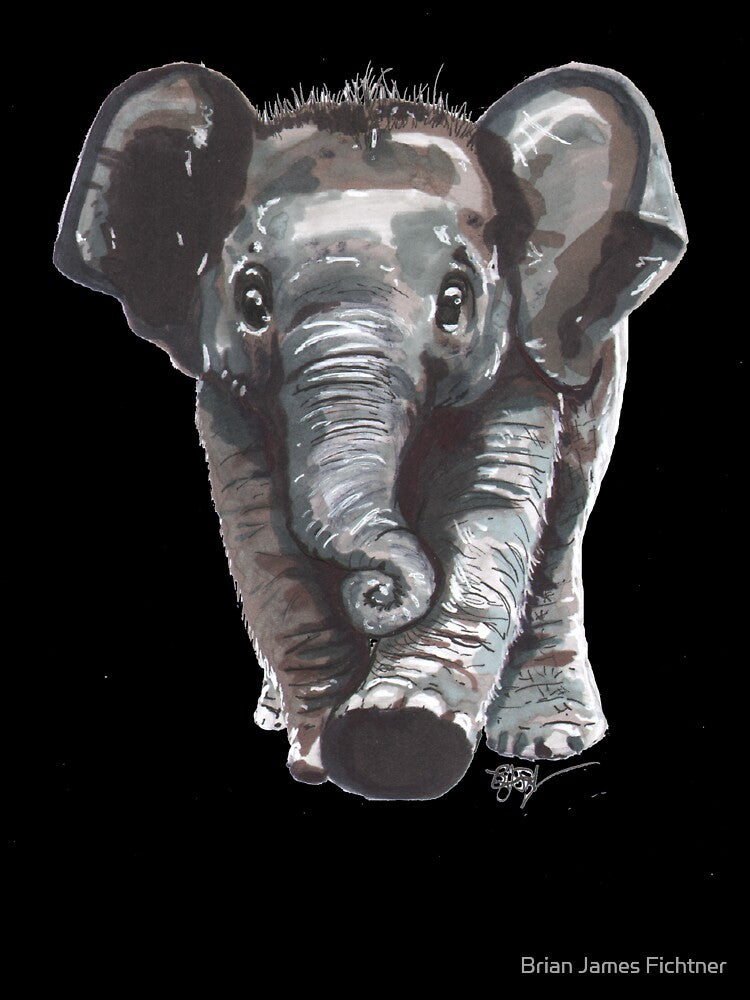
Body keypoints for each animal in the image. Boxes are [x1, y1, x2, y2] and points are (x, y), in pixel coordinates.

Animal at [54, 61, 686, 800]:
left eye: (454, 302)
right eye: (250, 299)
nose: (379, 589)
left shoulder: (521, 366)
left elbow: (486, 520)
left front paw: (394, 743)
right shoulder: (227, 400)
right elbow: (264, 549)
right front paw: (322, 754)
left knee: (562, 529)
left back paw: (552, 740)